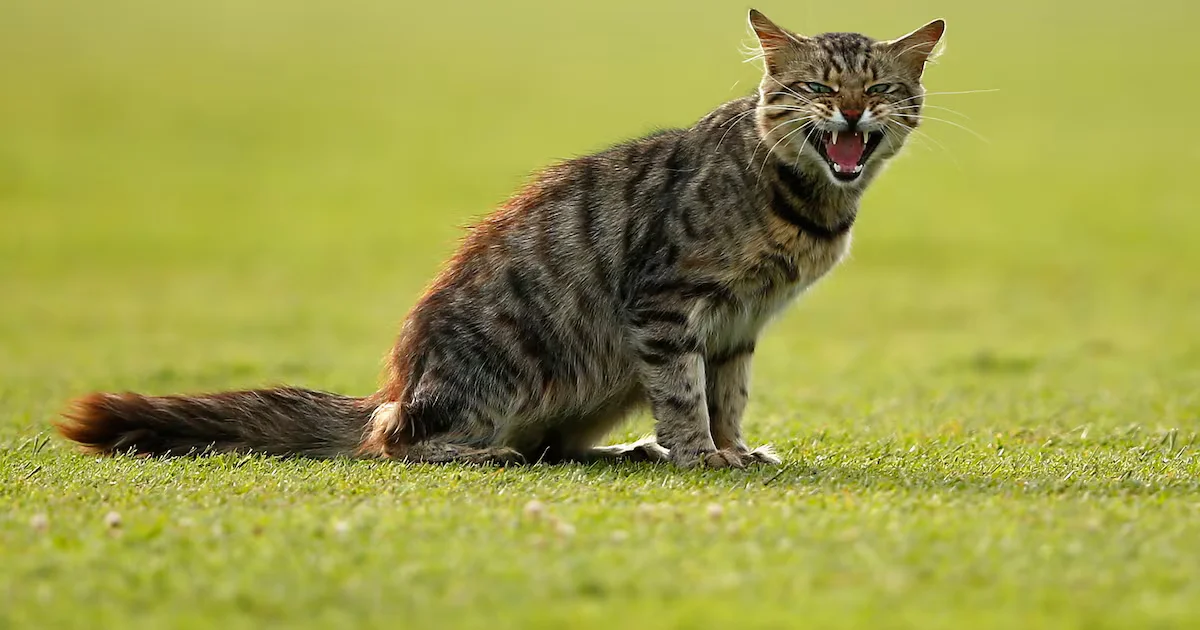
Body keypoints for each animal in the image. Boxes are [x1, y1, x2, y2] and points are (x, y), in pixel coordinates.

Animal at [56, 10, 945, 469]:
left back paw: (625, 453)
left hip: (601, 385)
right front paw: (700, 457)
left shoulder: (737, 326)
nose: (852, 113)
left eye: (878, 88)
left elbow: (727, 399)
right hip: (518, 365)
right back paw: (493, 453)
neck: (803, 201)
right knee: (401, 444)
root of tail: (394, 388)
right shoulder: (667, 308)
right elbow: (687, 397)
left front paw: (730, 448)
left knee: (558, 445)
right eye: (819, 87)